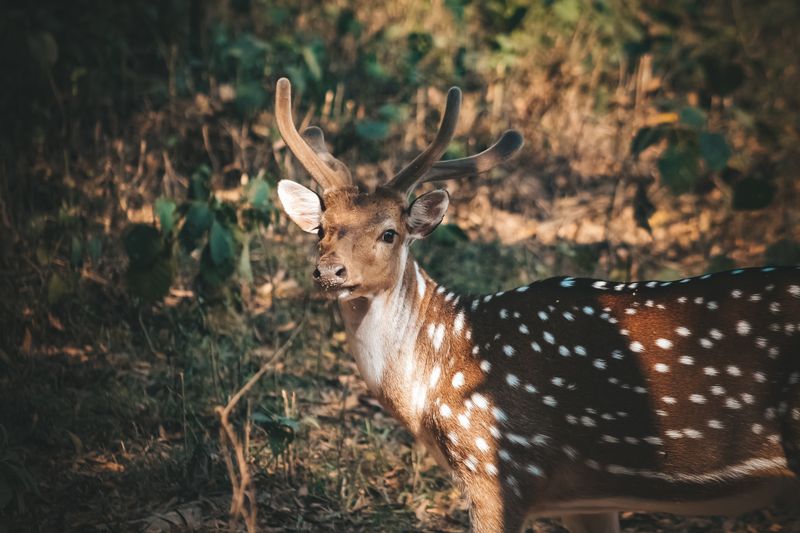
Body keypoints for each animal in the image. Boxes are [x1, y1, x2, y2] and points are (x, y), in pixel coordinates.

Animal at [272, 77, 800, 533]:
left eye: (390, 232)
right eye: (322, 229)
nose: (330, 271)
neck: (434, 388)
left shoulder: (497, 468)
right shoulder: (589, 500)